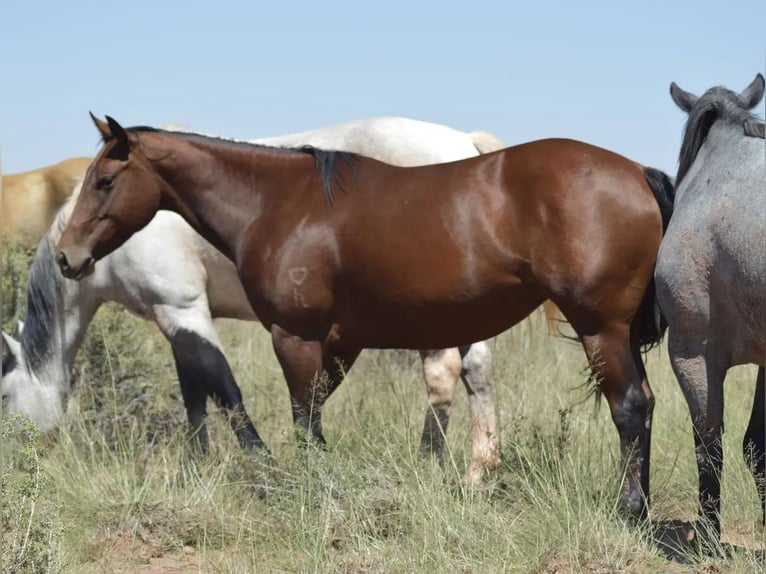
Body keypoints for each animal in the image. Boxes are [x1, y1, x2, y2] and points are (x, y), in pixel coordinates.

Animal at [1, 117, 516, 486]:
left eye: (5, 397)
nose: (68, 257)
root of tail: (464, 145)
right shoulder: (174, 319)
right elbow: (194, 394)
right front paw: (196, 465)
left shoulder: (182, 309)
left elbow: (224, 389)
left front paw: (262, 462)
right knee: (477, 369)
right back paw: (478, 468)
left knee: (443, 372)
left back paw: (432, 461)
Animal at [57, 116, 676, 520]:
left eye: (105, 181)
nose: (67, 256)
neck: (279, 204)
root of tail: (636, 173)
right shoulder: (339, 342)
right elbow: (310, 416)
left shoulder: (296, 336)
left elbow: (305, 422)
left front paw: (308, 492)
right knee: (644, 403)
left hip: (600, 329)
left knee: (629, 407)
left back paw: (628, 510)